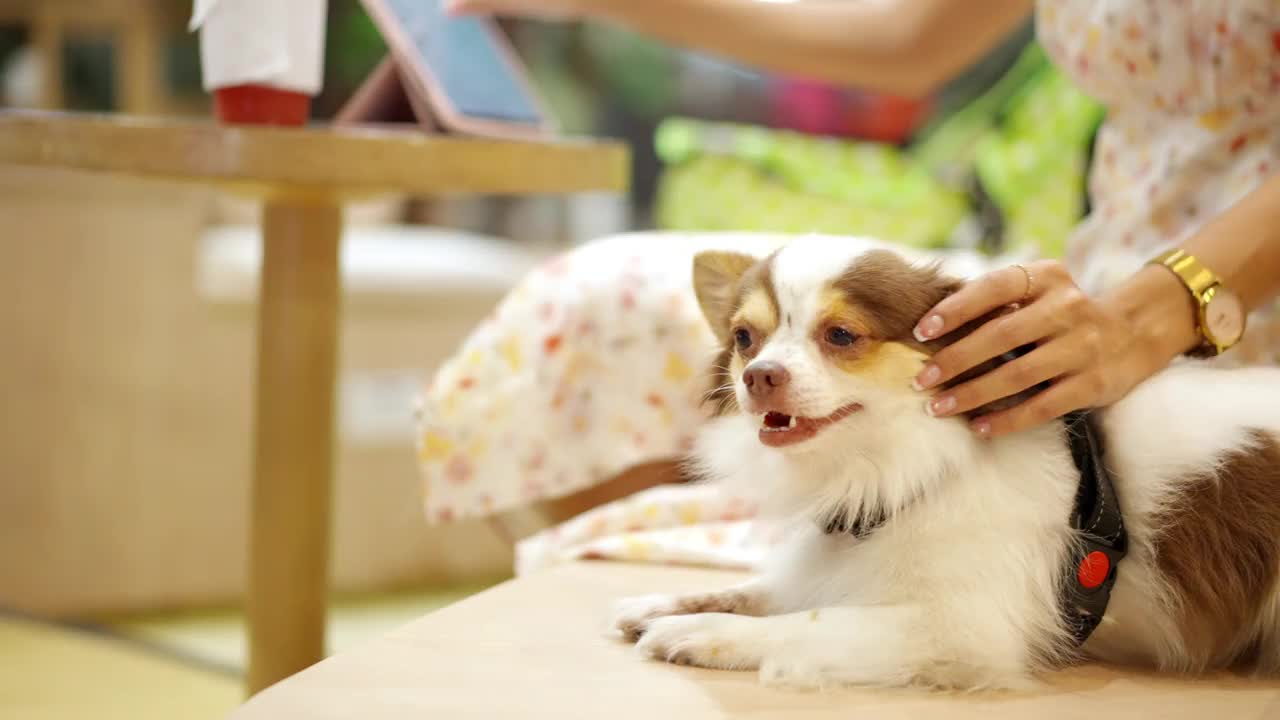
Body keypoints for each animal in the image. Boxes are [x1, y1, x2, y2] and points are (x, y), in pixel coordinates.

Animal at [606, 238, 1280, 686]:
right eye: (746, 338)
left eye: (841, 336)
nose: (758, 375)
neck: (888, 468)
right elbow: (767, 589)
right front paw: (668, 603)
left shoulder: (962, 628)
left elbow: (812, 620)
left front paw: (705, 632)